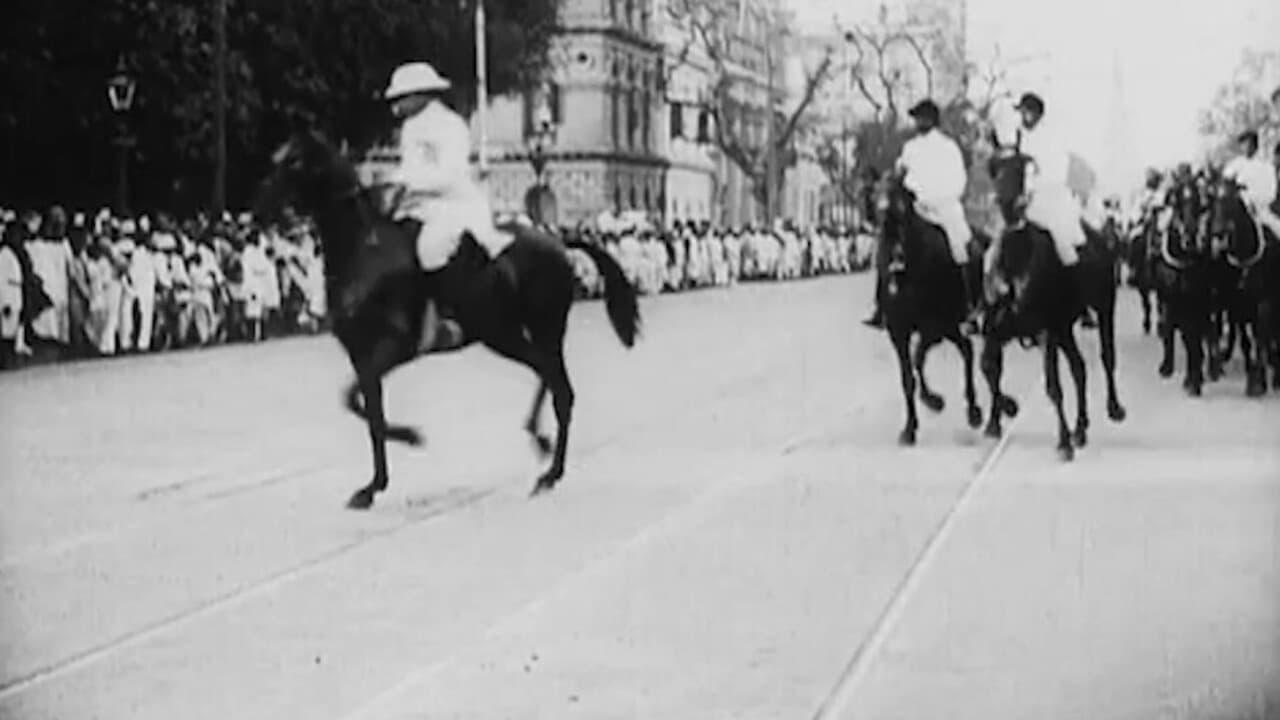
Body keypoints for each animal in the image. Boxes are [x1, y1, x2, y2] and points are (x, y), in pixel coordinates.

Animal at [257, 130, 640, 509]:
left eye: (294, 161)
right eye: (277, 158)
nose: (262, 205)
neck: (365, 250)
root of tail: (557, 243)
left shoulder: (394, 348)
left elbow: (360, 405)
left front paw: (409, 438)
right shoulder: (360, 353)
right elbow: (366, 412)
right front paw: (374, 485)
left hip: (526, 332)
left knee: (560, 389)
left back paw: (549, 469)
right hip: (517, 334)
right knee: (550, 378)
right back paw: (542, 448)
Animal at [875, 174, 983, 443]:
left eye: (897, 194)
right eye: (875, 191)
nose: (881, 213)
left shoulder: (933, 326)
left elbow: (918, 358)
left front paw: (933, 400)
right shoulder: (899, 332)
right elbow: (908, 376)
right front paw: (909, 427)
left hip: (949, 324)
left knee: (966, 351)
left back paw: (974, 411)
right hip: (949, 328)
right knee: (965, 349)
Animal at [972, 147, 1126, 456]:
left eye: (1021, 167)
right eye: (996, 168)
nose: (1010, 204)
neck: (1015, 262)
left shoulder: (1046, 331)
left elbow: (1053, 386)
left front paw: (1063, 440)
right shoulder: (996, 327)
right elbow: (988, 368)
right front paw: (1000, 415)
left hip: (1103, 306)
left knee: (1106, 356)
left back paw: (1112, 408)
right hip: (1065, 327)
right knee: (1078, 368)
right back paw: (1081, 427)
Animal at [1208, 176, 1280, 394]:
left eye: (1233, 199)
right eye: (1213, 198)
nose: (1217, 231)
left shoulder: (1265, 303)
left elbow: (1260, 339)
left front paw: (1257, 382)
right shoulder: (1236, 304)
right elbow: (1247, 340)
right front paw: (1256, 377)